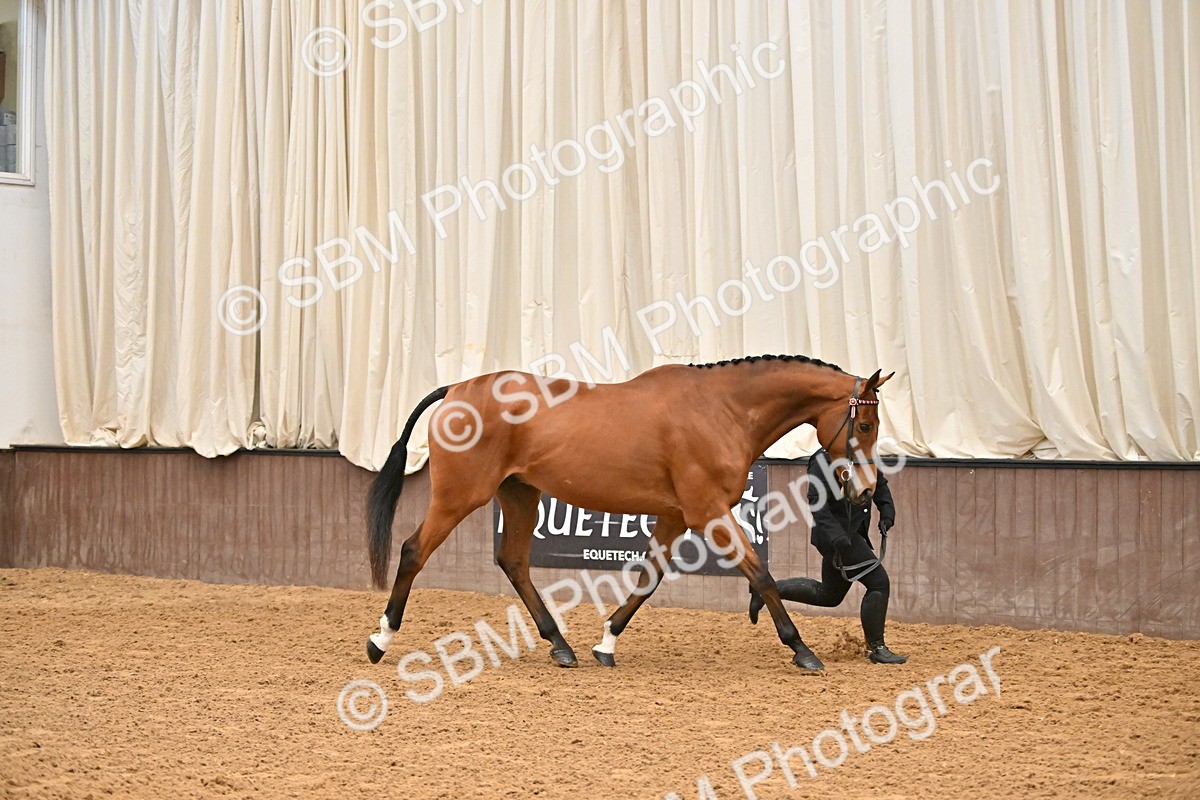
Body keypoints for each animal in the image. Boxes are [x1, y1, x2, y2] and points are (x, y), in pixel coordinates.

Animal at [364, 355, 894, 672]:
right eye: (865, 424)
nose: (867, 489)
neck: (719, 410)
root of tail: (457, 389)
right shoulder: (708, 512)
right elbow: (759, 573)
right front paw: (802, 650)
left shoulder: (677, 516)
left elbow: (648, 579)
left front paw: (606, 643)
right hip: (460, 495)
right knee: (413, 551)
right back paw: (380, 641)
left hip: (519, 494)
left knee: (513, 561)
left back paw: (561, 646)